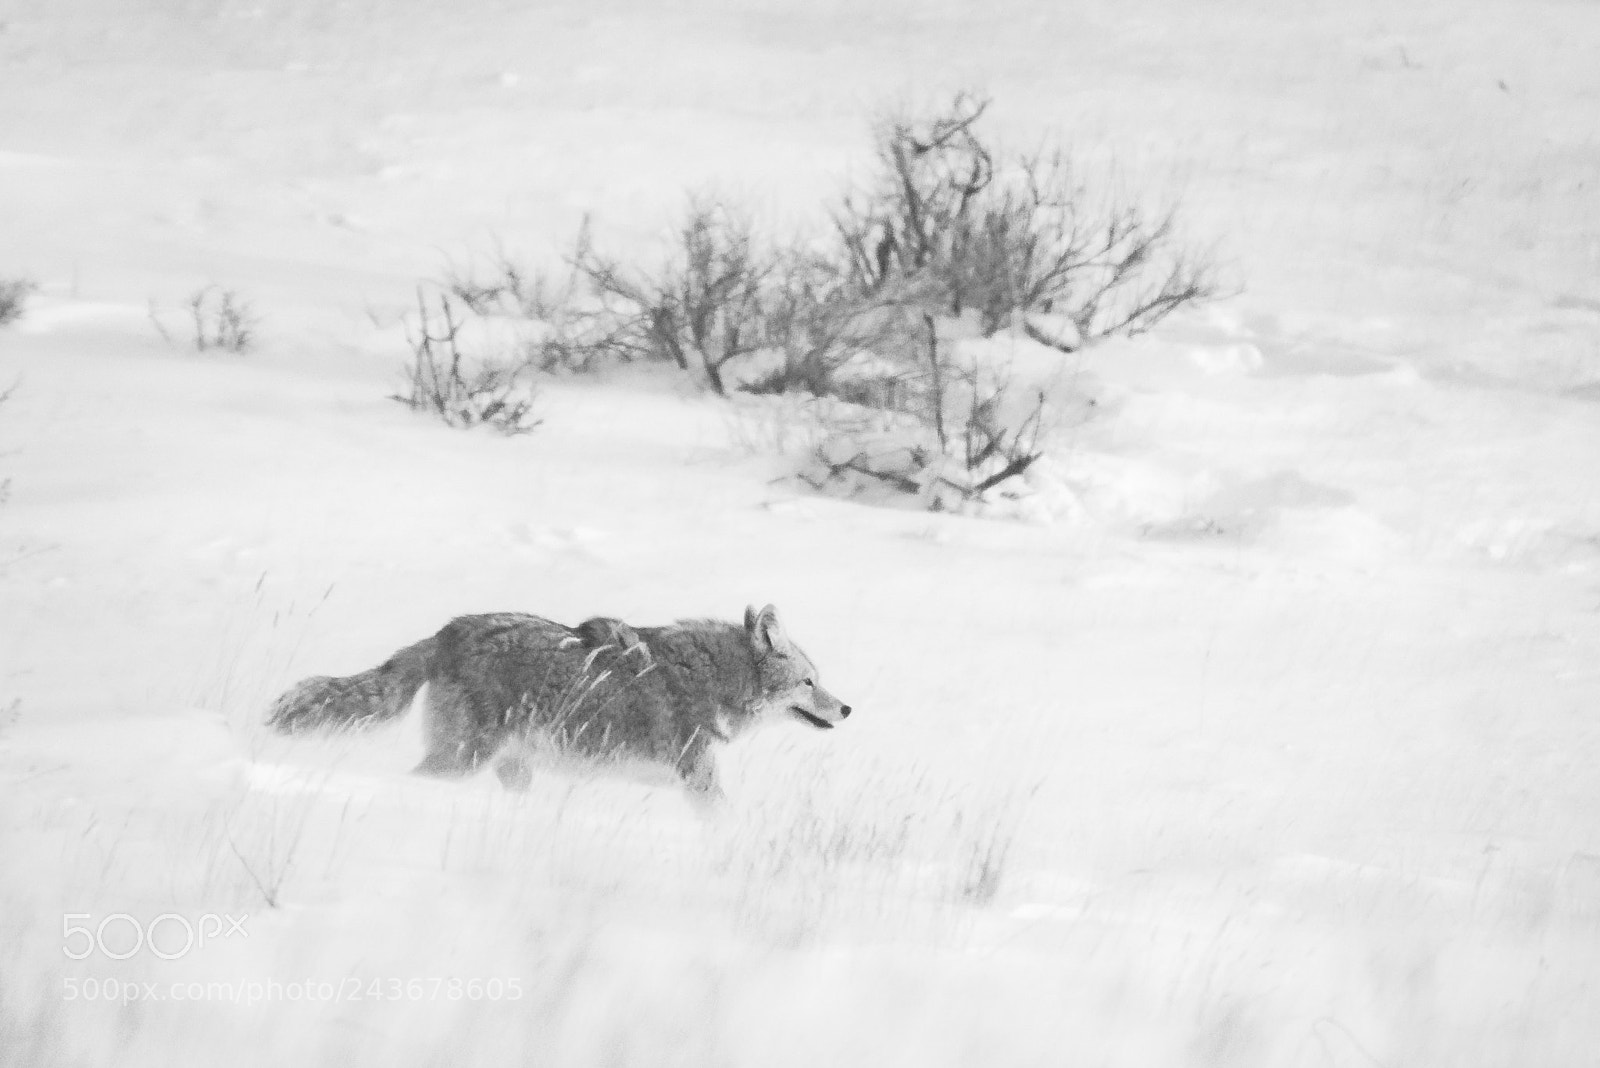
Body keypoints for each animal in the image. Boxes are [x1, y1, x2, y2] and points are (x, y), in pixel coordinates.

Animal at [267, 604, 850, 805]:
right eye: (809, 682)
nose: (847, 710)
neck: (711, 678)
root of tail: (448, 631)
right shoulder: (698, 780)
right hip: (461, 762)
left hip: (512, 770)